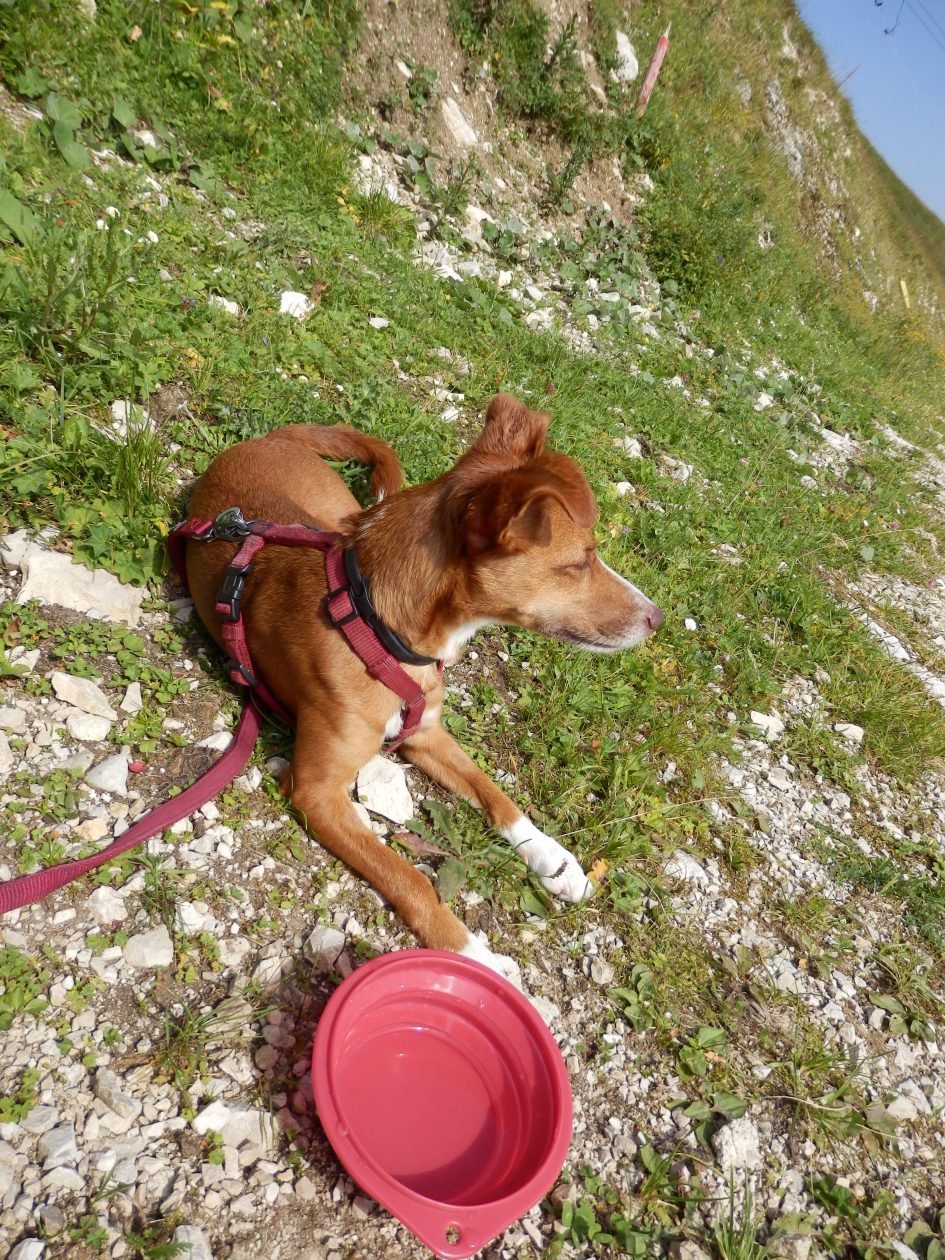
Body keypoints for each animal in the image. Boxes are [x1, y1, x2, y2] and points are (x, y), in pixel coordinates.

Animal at [182, 393, 660, 972]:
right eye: (580, 563)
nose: (657, 618)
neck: (377, 624)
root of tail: (270, 439)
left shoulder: (427, 733)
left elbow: (497, 795)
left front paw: (552, 857)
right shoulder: (316, 792)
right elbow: (410, 878)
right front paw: (473, 955)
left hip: (336, 512)